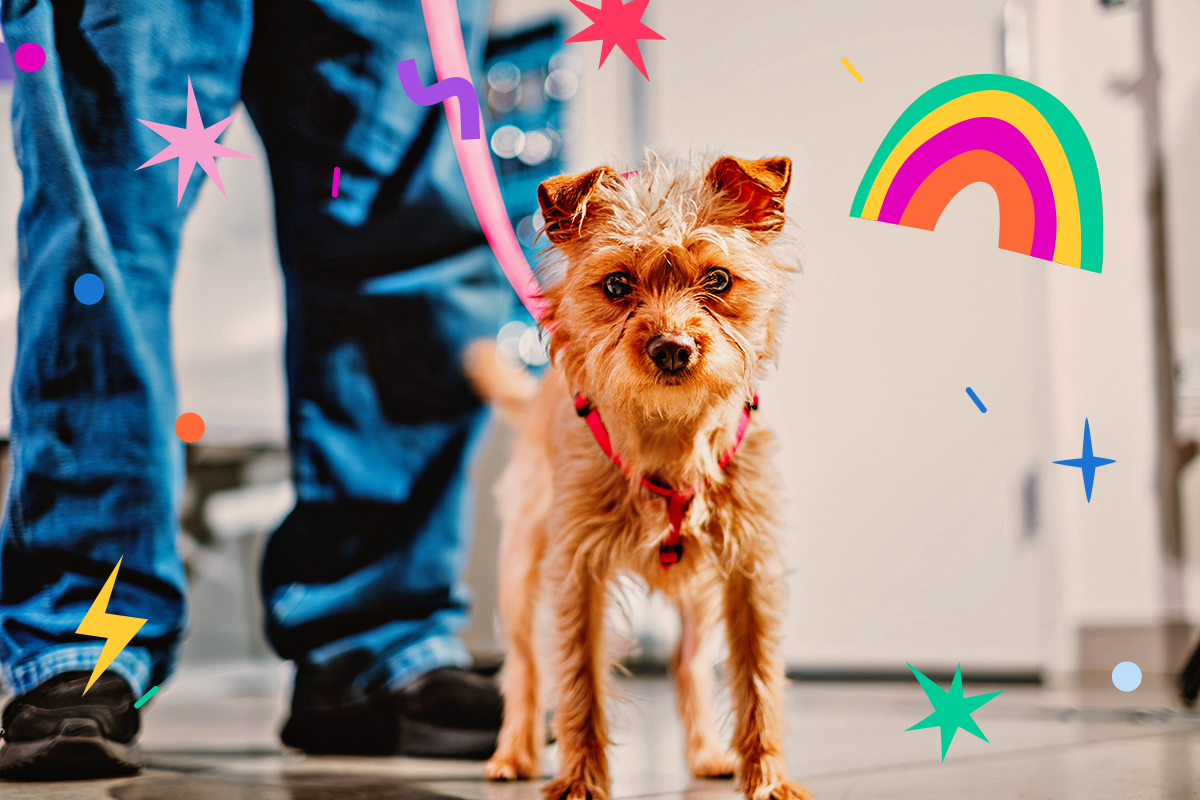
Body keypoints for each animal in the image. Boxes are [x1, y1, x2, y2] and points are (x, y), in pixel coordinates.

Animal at [463, 154, 811, 800]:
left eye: (718, 280)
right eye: (617, 285)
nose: (672, 348)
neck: (670, 435)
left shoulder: (749, 571)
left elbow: (757, 677)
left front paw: (768, 777)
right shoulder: (578, 575)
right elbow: (579, 680)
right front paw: (578, 779)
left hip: (699, 597)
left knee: (688, 663)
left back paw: (707, 753)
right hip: (520, 574)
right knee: (524, 668)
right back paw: (513, 752)